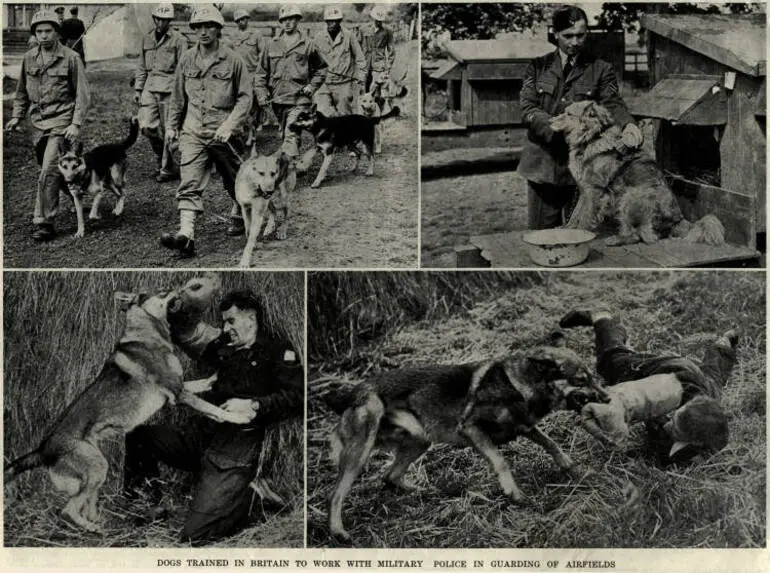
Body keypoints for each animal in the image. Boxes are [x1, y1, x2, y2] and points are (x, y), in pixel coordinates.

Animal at [4, 274, 250, 532]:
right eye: (161, 292)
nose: (177, 288)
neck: (148, 334)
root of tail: (42, 449)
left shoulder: (180, 388)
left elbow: (202, 384)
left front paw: (215, 378)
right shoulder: (178, 394)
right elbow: (214, 410)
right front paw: (240, 417)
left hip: (97, 470)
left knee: (86, 507)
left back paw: (103, 522)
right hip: (97, 468)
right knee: (68, 510)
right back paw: (95, 529)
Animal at [318, 330, 608, 540]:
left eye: (592, 376)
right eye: (581, 380)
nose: (607, 397)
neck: (519, 384)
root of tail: (351, 393)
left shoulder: (525, 427)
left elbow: (553, 446)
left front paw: (577, 471)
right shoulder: (471, 428)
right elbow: (501, 461)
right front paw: (514, 494)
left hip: (420, 441)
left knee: (389, 476)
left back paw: (426, 491)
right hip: (361, 450)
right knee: (336, 495)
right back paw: (338, 532)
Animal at [548, 101, 724, 245]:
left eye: (568, 114)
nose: (549, 121)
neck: (592, 138)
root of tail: (678, 220)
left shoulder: (593, 190)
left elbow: (584, 216)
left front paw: (581, 233)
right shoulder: (585, 190)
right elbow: (576, 214)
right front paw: (567, 229)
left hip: (629, 196)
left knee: (638, 236)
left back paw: (617, 239)